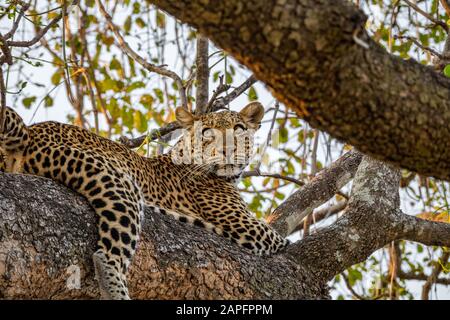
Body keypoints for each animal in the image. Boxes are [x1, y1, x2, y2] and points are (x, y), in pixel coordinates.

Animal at [0, 102, 288, 300]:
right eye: (207, 133)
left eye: (238, 130)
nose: (228, 149)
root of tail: (31, 131)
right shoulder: (248, 228)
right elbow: (280, 241)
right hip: (114, 180)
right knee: (107, 254)